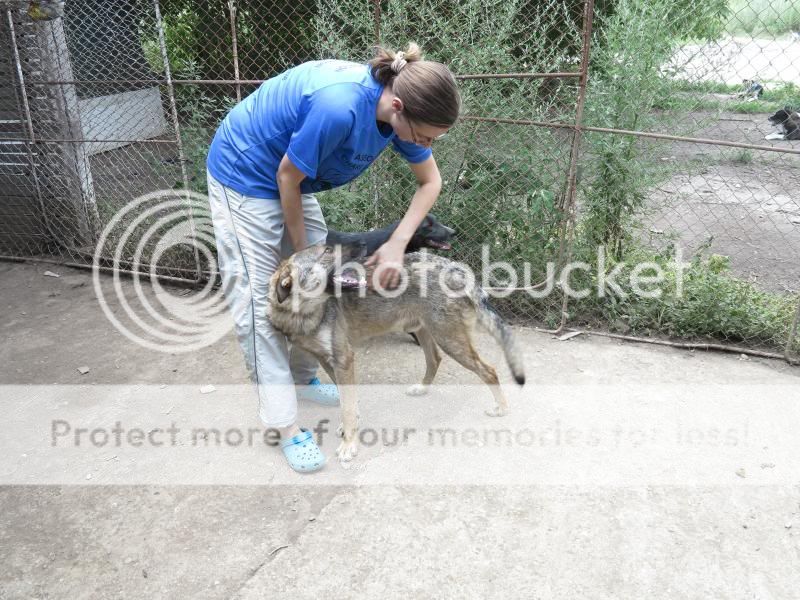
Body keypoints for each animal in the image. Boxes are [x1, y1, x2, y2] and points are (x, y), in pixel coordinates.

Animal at [268, 244, 524, 464]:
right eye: (328, 250)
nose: (363, 247)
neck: (303, 315)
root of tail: (457, 268)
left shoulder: (344, 359)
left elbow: (347, 407)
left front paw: (349, 444)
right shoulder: (327, 360)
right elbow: (347, 402)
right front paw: (351, 427)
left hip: (450, 342)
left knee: (489, 371)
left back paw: (502, 408)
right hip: (425, 332)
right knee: (435, 359)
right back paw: (422, 388)